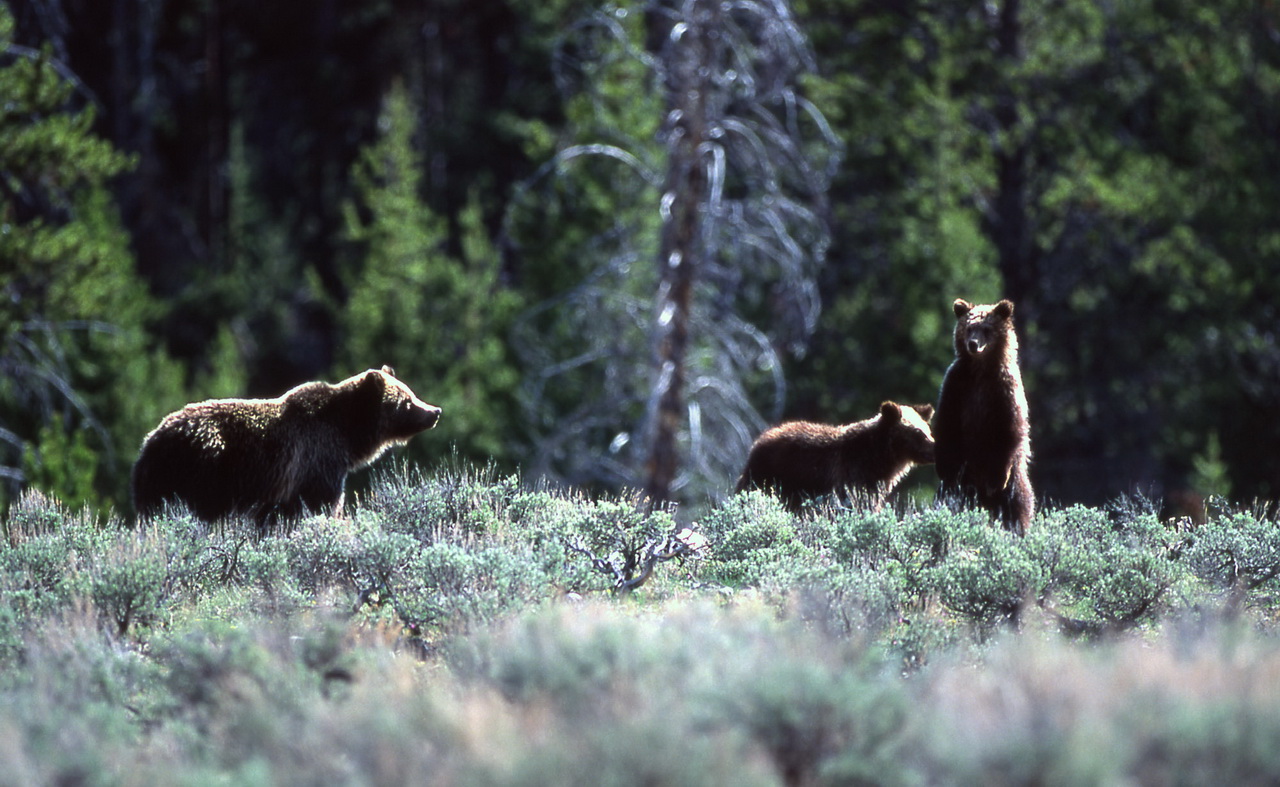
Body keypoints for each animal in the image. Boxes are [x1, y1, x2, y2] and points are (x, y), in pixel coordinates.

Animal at [130, 365, 440, 527]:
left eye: (411, 393)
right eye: (407, 401)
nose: (434, 411)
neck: (347, 433)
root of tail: (151, 441)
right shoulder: (318, 460)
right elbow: (324, 502)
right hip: (203, 469)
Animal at [737, 404, 936, 514]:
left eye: (928, 430)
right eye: (918, 432)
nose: (935, 448)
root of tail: (758, 441)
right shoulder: (853, 473)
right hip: (769, 476)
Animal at [936, 300, 1034, 534]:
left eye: (987, 329)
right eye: (969, 327)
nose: (973, 344)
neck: (981, 370)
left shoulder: (1004, 389)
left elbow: (1011, 428)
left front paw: (997, 480)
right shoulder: (957, 384)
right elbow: (947, 422)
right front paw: (943, 466)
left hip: (1014, 479)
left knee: (1018, 503)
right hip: (966, 476)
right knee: (952, 497)